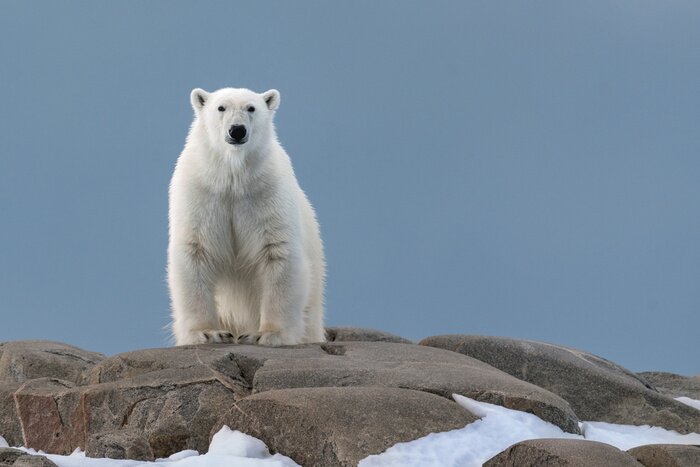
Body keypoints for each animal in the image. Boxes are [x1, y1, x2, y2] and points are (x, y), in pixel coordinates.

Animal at [167, 87, 325, 346]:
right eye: (221, 107)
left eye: (251, 108)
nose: (237, 130)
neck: (233, 175)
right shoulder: (201, 192)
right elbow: (196, 251)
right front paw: (207, 333)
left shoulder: (266, 192)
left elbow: (277, 251)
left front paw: (268, 334)